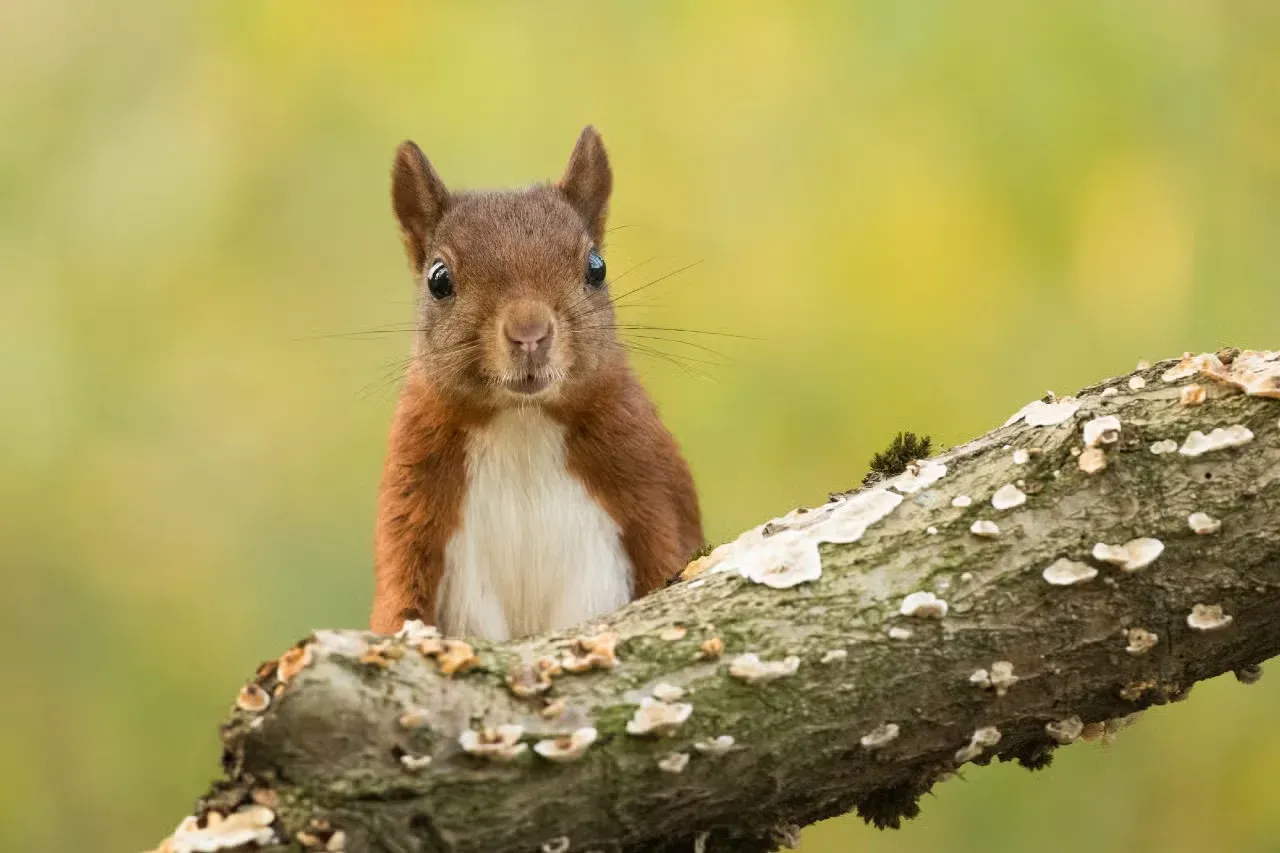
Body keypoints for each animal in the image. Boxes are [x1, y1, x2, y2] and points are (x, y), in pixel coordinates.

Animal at [371, 126, 704, 640]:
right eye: (438, 279)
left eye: (596, 267)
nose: (529, 333)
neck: (521, 422)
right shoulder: (409, 499)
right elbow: (398, 595)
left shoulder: (651, 478)